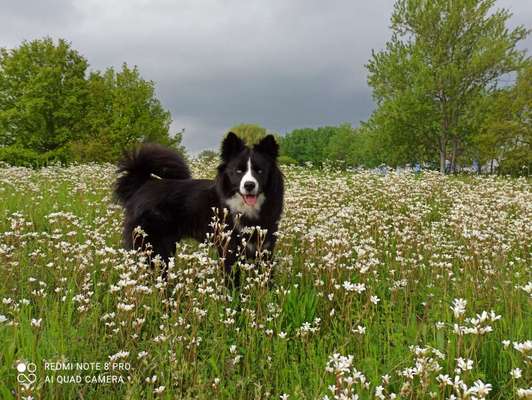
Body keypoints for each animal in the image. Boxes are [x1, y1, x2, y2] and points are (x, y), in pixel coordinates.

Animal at [115, 133, 284, 286]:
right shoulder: (229, 248)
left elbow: (267, 278)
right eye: (238, 171)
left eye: (260, 171)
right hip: (152, 246)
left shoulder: (265, 247)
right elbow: (232, 281)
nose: (249, 185)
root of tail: (143, 184)